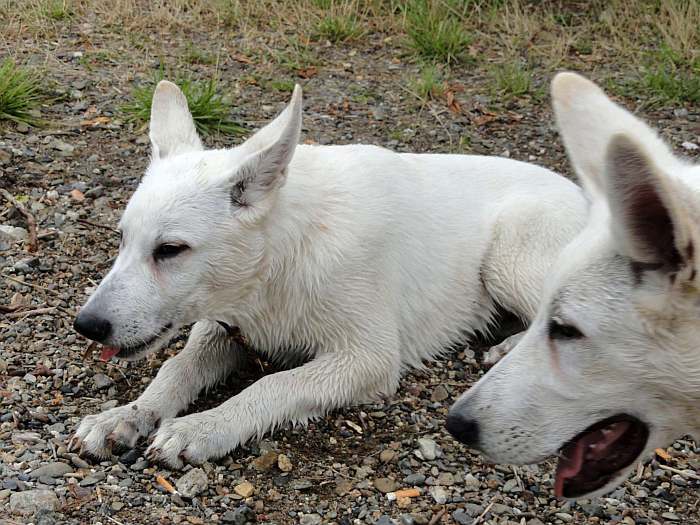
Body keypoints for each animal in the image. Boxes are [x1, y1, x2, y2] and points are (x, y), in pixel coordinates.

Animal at [69, 79, 584, 466]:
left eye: (171, 250)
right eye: (121, 239)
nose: (86, 327)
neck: (283, 259)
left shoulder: (369, 358)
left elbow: (272, 383)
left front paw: (206, 425)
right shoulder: (225, 327)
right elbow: (176, 368)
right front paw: (128, 414)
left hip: (509, 253)